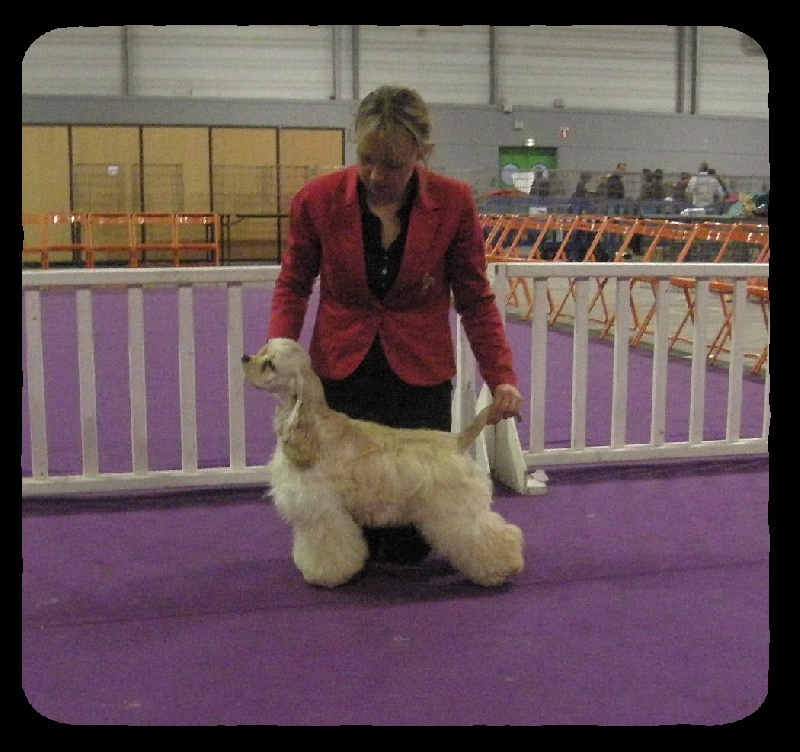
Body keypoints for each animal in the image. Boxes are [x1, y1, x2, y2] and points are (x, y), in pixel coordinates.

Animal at [241, 338, 524, 588]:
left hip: (455, 510)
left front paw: (326, 576)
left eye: (270, 364)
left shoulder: (324, 510)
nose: (244, 358)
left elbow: (327, 545)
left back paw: (500, 570)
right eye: (262, 350)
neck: (312, 428)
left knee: (487, 534)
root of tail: (456, 441)